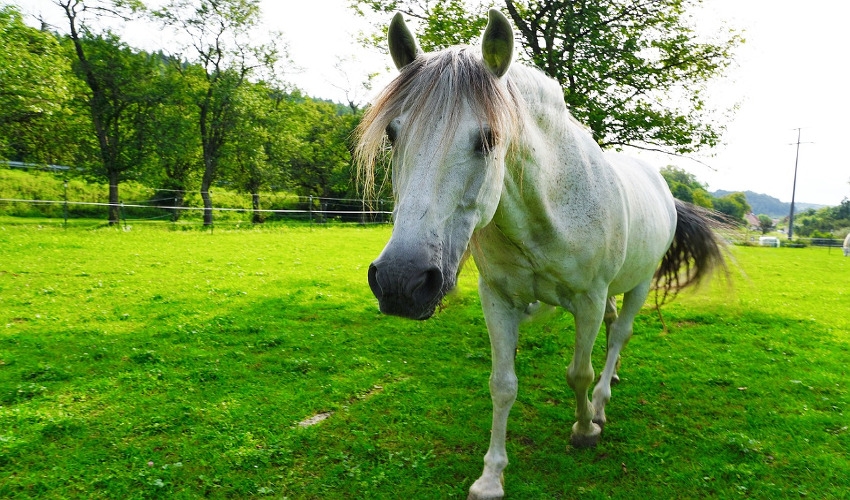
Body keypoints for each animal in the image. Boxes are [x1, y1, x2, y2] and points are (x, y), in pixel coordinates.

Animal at [355, 10, 726, 499]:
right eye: (393, 134)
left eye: (489, 138)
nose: (402, 281)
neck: (545, 210)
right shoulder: (497, 298)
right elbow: (502, 385)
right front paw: (491, 477)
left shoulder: (588, 299)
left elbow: (579, 373)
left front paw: (585, 429)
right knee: (612, 331)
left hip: (639, 285)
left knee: (619, 335)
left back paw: (601, 403)